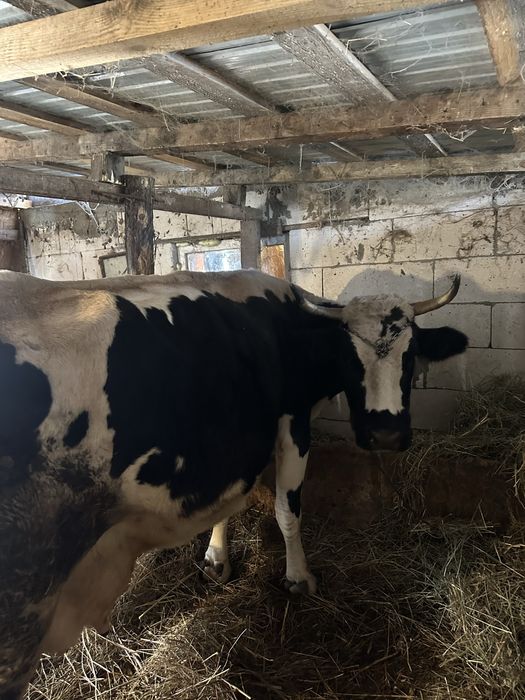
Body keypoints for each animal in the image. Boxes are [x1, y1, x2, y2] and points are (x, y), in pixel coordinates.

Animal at [0, 269, 467, 698]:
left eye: (411, 355)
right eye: (350, 357)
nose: (385, 434)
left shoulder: (235, 444)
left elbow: (228, 506)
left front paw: (215, 559)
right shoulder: (292, 421)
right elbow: (287, 509)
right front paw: (298, 578)